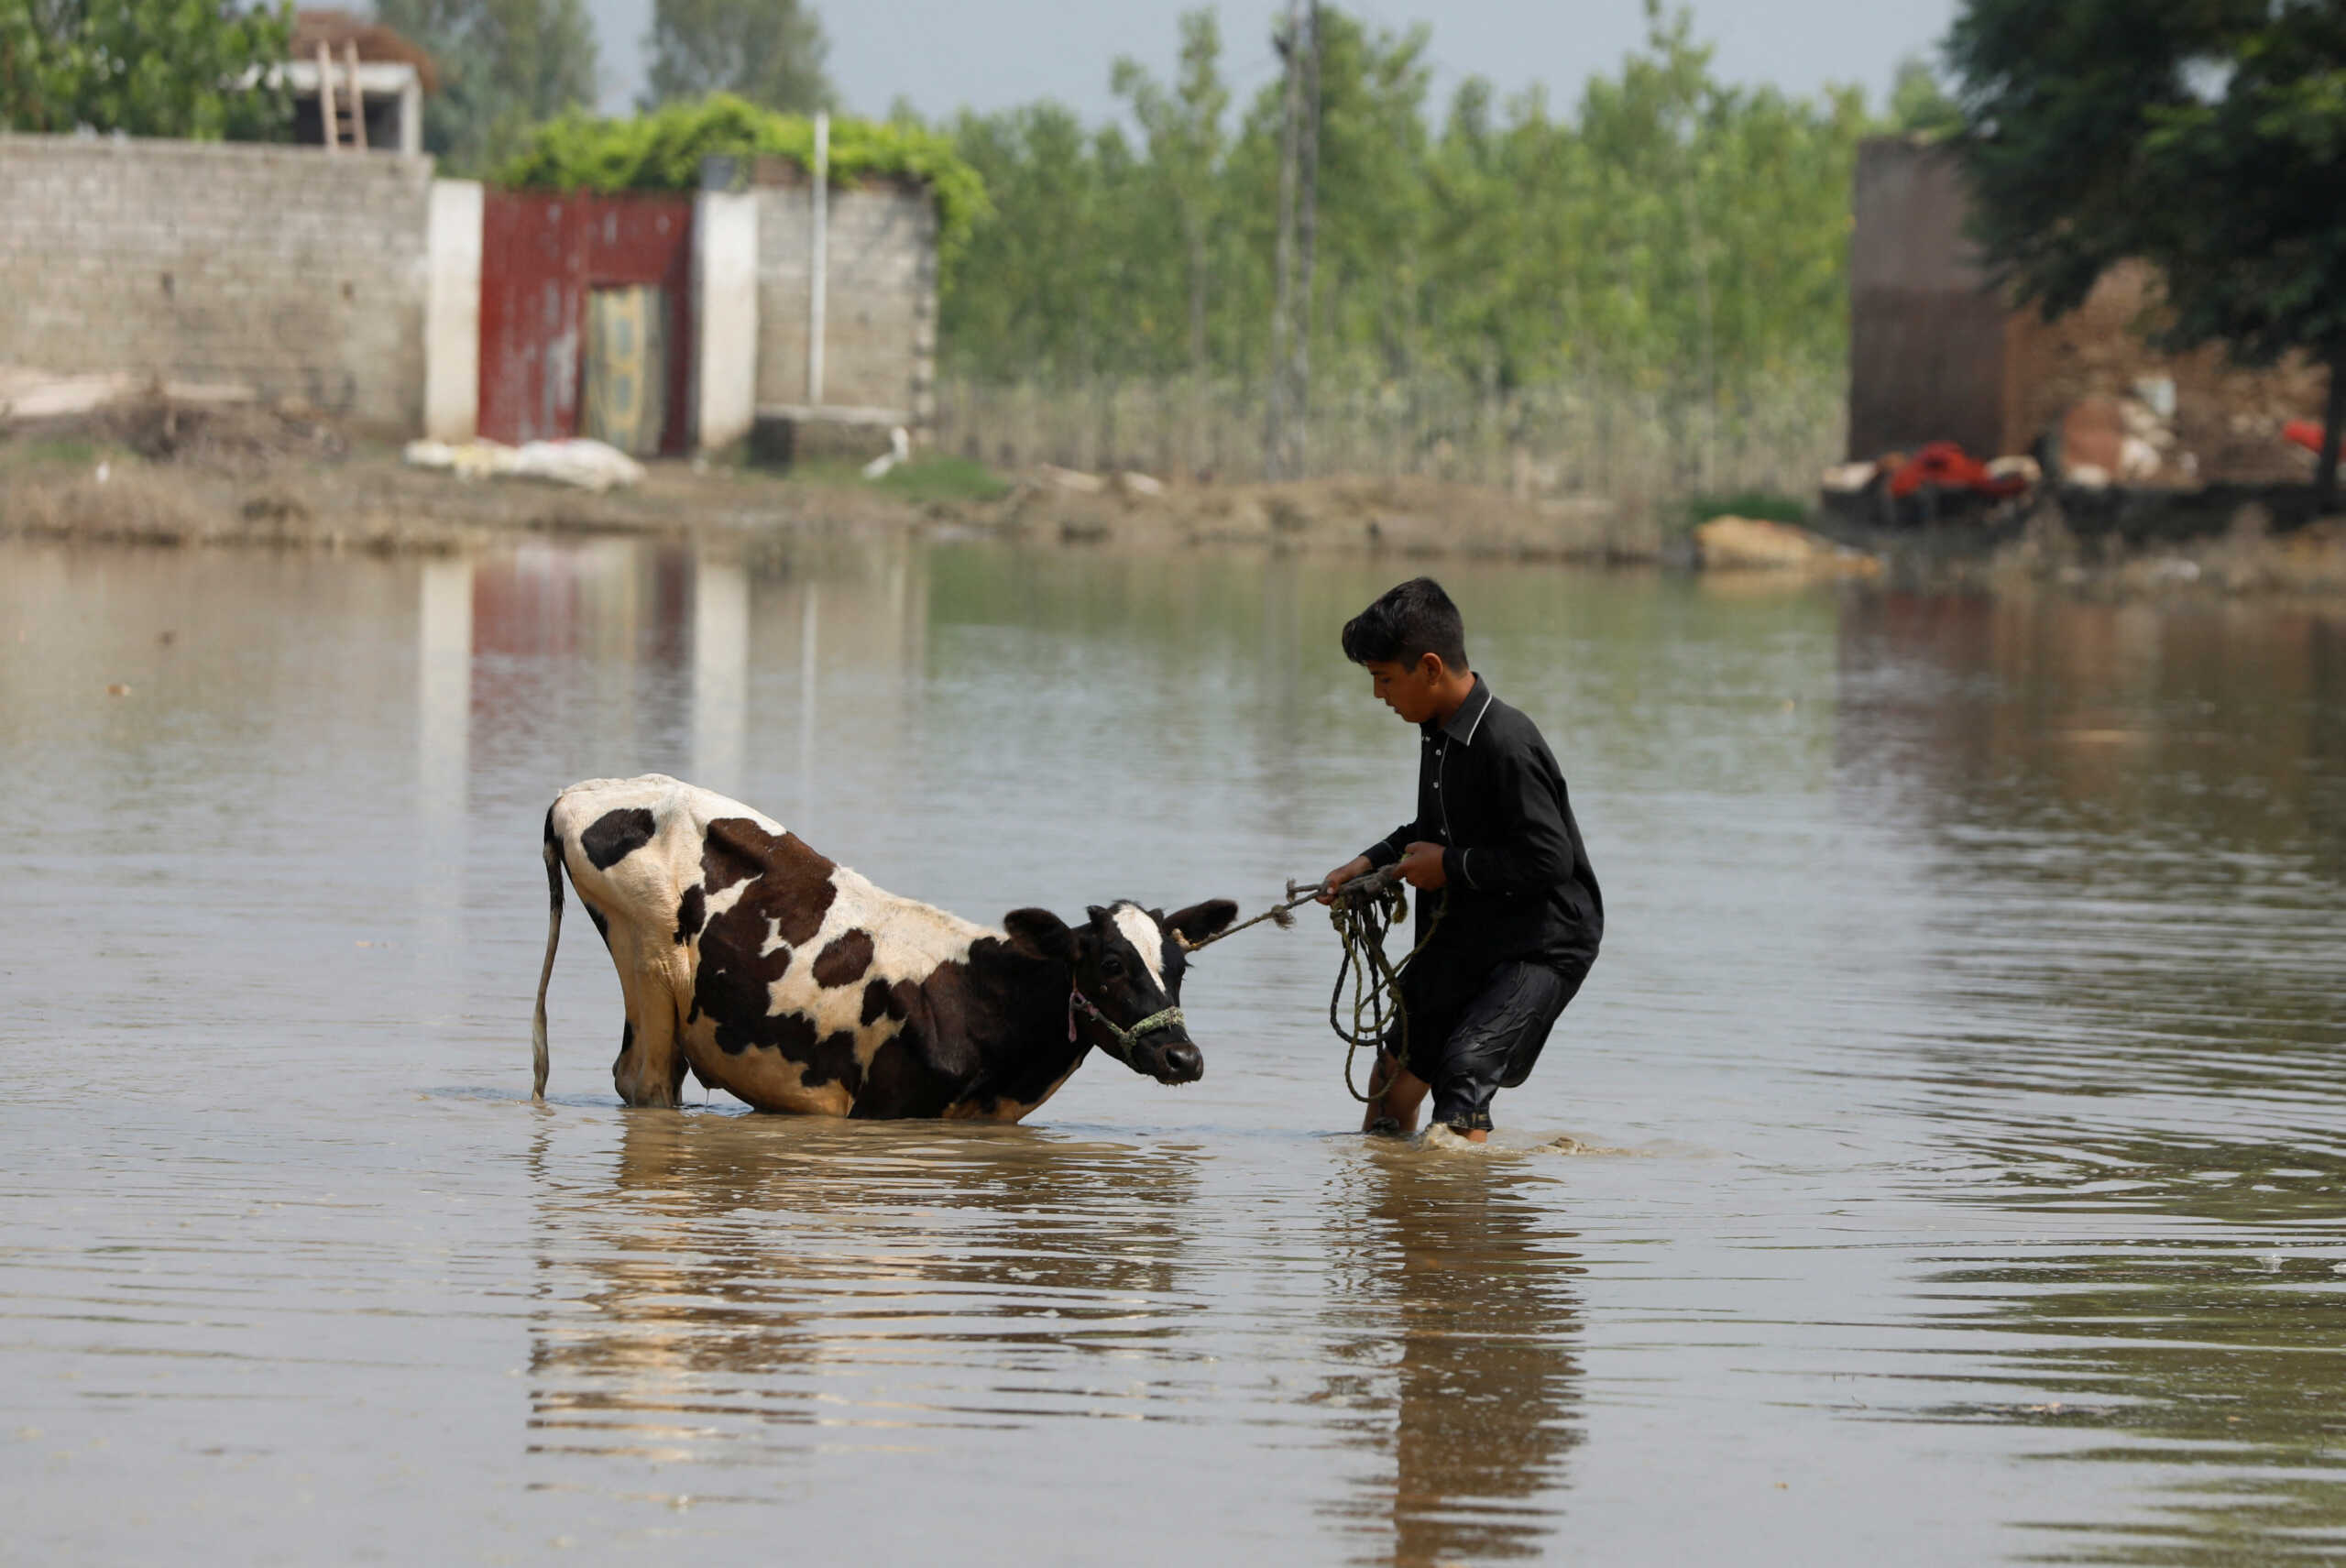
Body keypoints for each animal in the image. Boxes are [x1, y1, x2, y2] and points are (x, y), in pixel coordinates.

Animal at [525, 774, 1238, 1122]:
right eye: (1111, 963)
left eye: (1180, 967)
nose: (1184, 1056)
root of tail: (575, 793)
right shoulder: (883, 1110)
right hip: (645, 963)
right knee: (644, 1083)